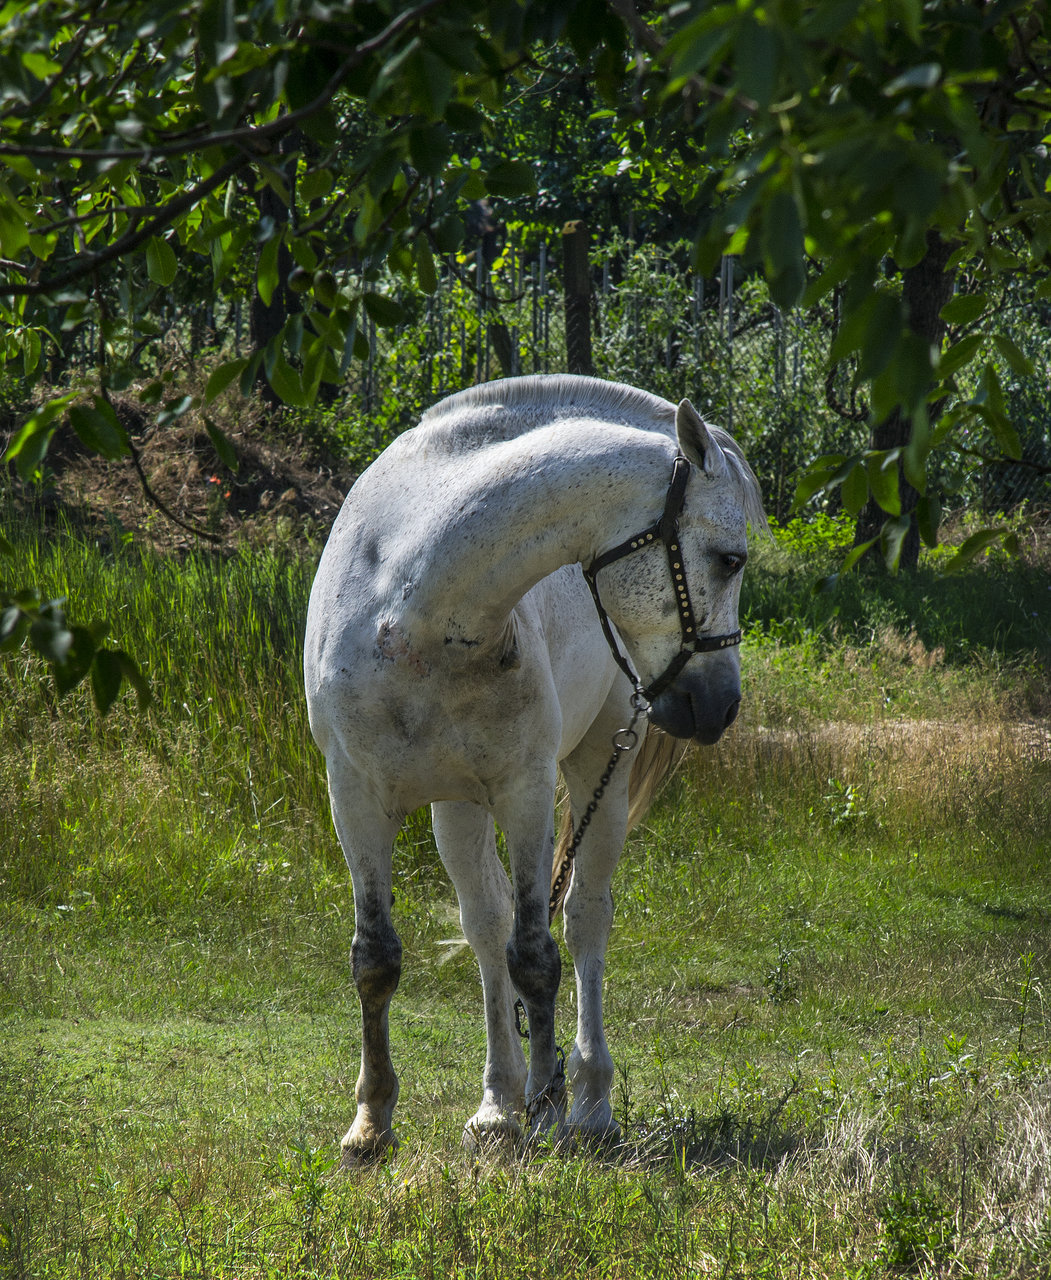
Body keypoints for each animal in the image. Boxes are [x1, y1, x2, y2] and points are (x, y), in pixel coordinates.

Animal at [303, 374, 767, 1162]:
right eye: (728, 559)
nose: (719, 707)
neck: (412, 608)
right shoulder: (355, 797)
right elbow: (378, 958)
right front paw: (371, 1123)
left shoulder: (524, 790)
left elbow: (536, 956)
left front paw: (547, 1111)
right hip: (455, 807)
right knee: (485, 924)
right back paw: (498, 1104)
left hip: (595, 771)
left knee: (582, 921)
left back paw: (584, 1101)